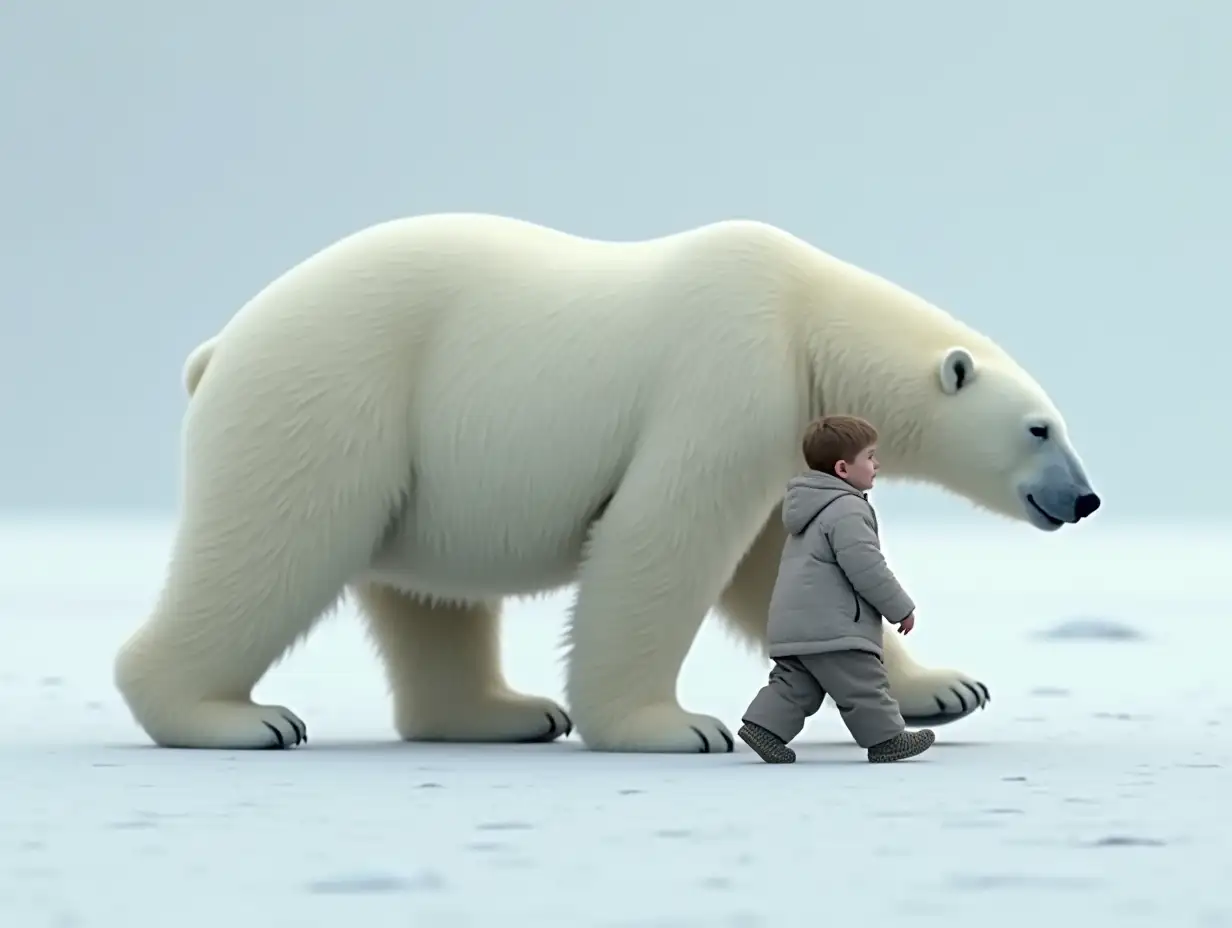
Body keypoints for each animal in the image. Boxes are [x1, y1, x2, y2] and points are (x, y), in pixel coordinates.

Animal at [113, 213, 1101, 753]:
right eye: (1040, 427)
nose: (1084, 498)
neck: (805, 312)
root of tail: (218, 348)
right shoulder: (727, 376)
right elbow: (661, 542)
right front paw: (672, 725)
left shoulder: (785, 431)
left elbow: (775, 570)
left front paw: (947, 687)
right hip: (328, 396)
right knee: (275, 546)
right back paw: (234, 716)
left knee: (427, 596)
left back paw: (502, 712)